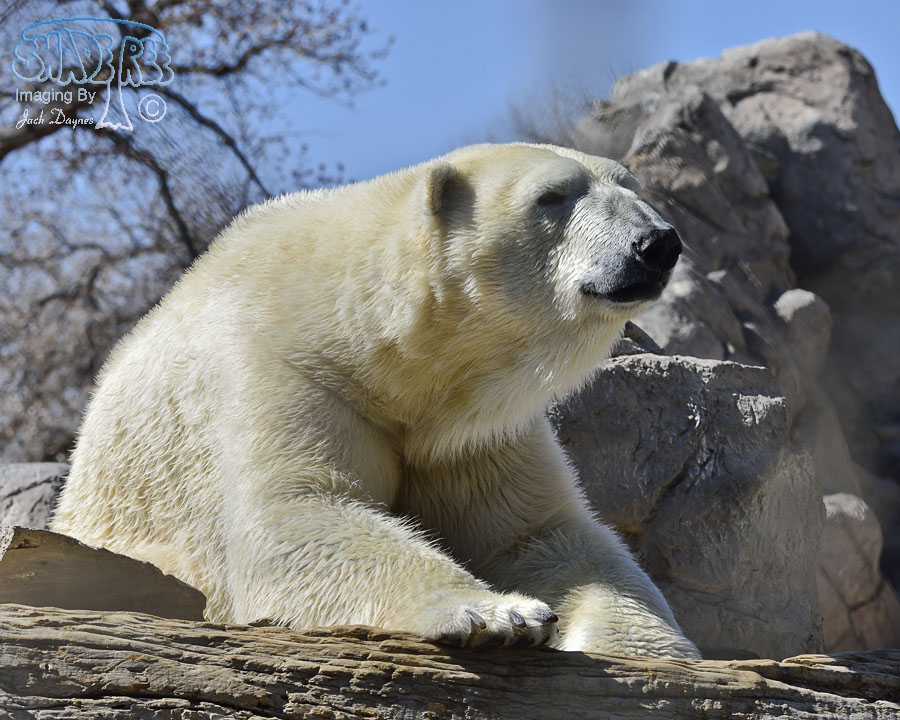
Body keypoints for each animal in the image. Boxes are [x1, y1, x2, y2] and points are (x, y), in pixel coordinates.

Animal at [52, 143, 700, 659]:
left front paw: (655, 652)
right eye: (552, 197)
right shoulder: (285, 370)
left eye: (631, 185)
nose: (657, 243)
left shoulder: (476, 428)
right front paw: (498, 614)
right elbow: (295, 512)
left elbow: (541, 535)